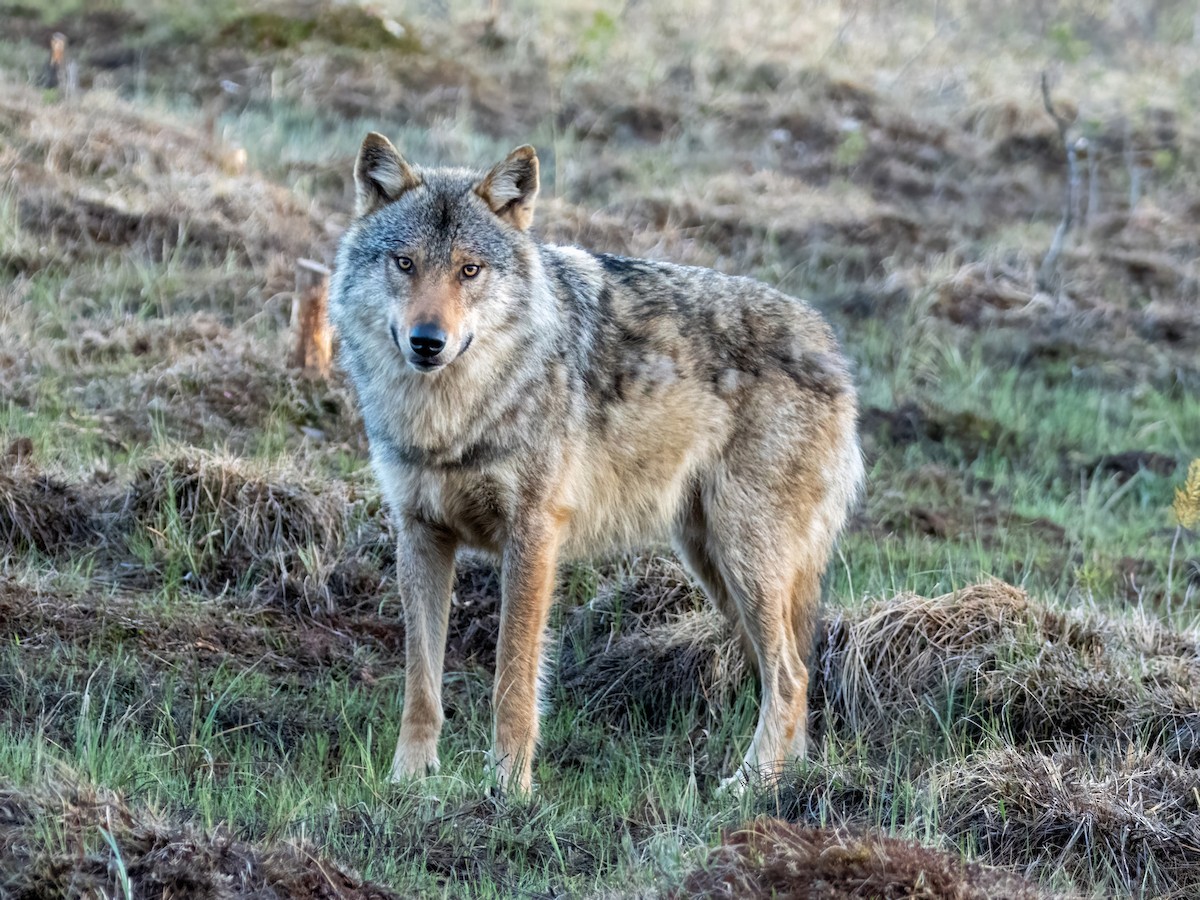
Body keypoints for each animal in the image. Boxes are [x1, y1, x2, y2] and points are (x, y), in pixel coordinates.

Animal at [329, 133, 864, 794]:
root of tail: (828, 342)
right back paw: (789, 779)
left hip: (745, 560)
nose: (427, 341)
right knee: (786, 673)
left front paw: (509, 790)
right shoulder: (421, 533)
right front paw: (407, 782)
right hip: (715, 566)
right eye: (405, 263)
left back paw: (745, 787)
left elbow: (513, 679)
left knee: (791, 675)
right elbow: (420, 683)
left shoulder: (533, 534)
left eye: (469, 269)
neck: (452, 420)